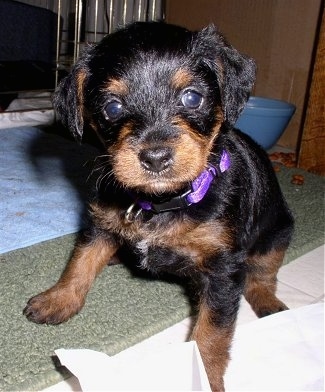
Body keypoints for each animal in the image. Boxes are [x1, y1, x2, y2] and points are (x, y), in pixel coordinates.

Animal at [24, 23, 294, 390]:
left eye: (192, 97)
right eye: (112, 107)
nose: (155, 157)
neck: (161, 203)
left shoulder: (223, 271)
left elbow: (211, 334)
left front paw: (204, 377)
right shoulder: (99, 222)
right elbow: (80, 262)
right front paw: (58, 300)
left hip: (276, 234)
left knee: (263, 275)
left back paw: (270, 304)